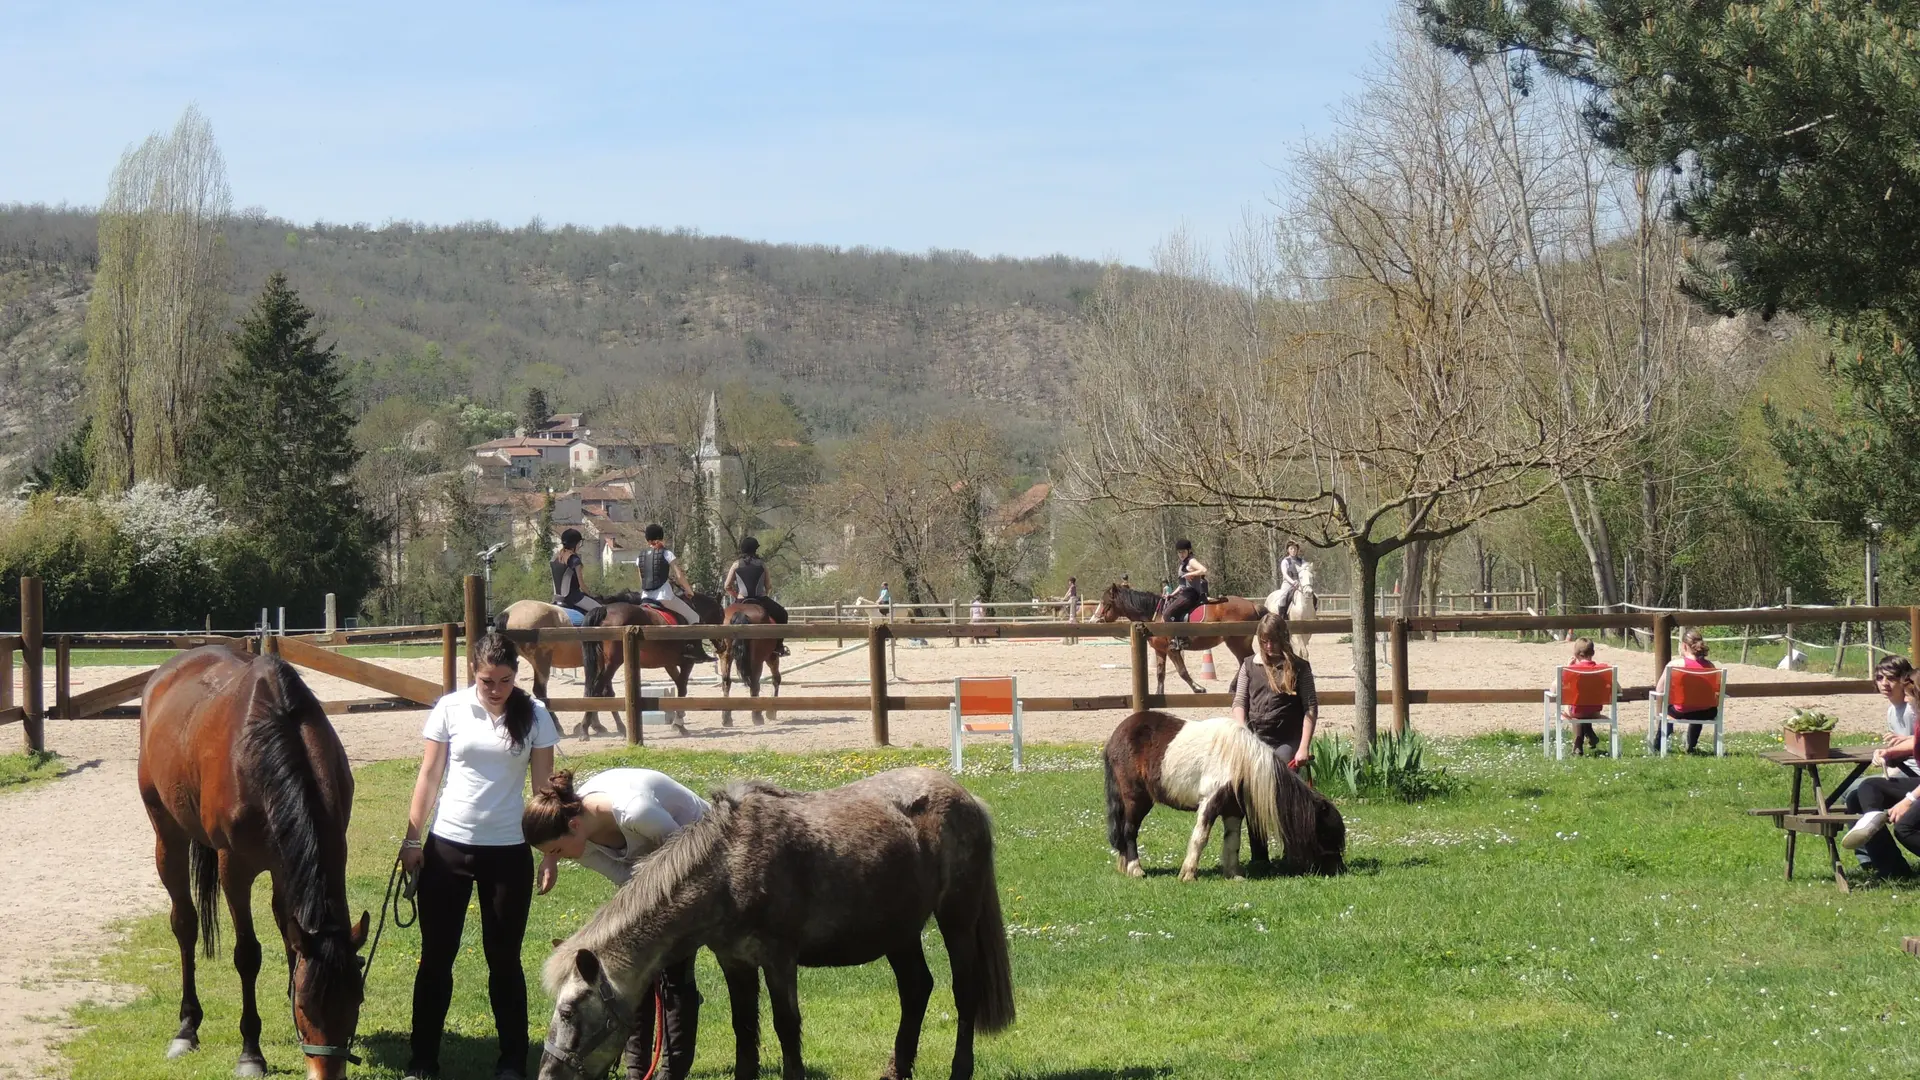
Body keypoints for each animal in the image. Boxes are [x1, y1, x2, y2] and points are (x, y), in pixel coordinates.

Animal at [140, 641, 370, 1068]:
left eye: (356, 1002)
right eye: (308, 1009)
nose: (327, 1071)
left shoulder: (298, 861)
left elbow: (291, 937)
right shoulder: (235, 869)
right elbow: (248, 954)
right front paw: (251, 1052)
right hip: (168, 836)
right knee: (185, 923)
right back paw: (186, 1027)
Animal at [533, 764, 1013, 1076]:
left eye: (570, 1011)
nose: (547, 1075)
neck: (730, 867)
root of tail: (967, 798)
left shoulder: (780, 960)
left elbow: (786, 1028)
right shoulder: (736, 962)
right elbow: (745, 1030)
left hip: (956, 919)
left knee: (964, 991)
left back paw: (959, 1070)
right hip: (899, 930)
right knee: (916, 989)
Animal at [1098, 584, 1259, 691]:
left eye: (1105, 603)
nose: (1096, 619)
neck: (1154, 616)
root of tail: (1252, 604)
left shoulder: (1171, 650)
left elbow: (1182, 671)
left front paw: (1198, 688)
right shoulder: (1160, 650)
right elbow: (1160, 674)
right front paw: (1158, 696)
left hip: (1236, 642)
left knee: (1244, 661)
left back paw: (1233, 687)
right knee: (1245, 661)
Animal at [1098, 707, 1351, 876]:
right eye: (1326, 833)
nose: (1339, 869)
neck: (1242, 761)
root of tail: (1117, 735)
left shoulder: (1233, 810)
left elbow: (1233, 841)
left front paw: (1234, 875)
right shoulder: (1210, 802)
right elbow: (1200, 837)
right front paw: (1188, 874)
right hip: (1136, 798)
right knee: (1129, 830)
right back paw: (1135, 869)